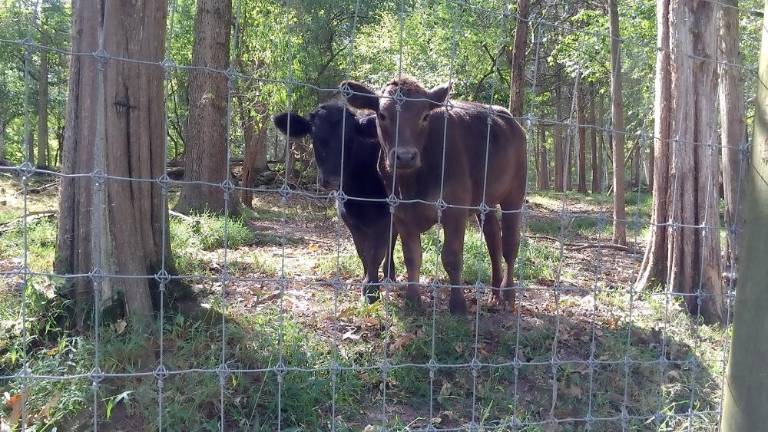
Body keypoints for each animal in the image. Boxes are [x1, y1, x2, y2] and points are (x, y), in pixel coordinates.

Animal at [272, 103, 396, 302]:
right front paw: (365, 281)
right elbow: (362, 252)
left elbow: (376, 253)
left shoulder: (385, 216)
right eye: (315, 137)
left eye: (350, 140)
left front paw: (371, 291)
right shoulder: (349, 218)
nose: (332, 180)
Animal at [342, 77, 528, 314]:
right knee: (493, 240)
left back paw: (507, 295)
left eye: (425, 116)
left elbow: (451, 257)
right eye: (382, 115)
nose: (405, 156)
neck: (411, 185)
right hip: (483, 202)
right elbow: (412, 256)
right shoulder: (401, 213)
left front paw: (457, 305)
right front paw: (413, 301)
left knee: (510, 245)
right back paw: (494, 295)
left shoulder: (454, 209)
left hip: (514, 193)